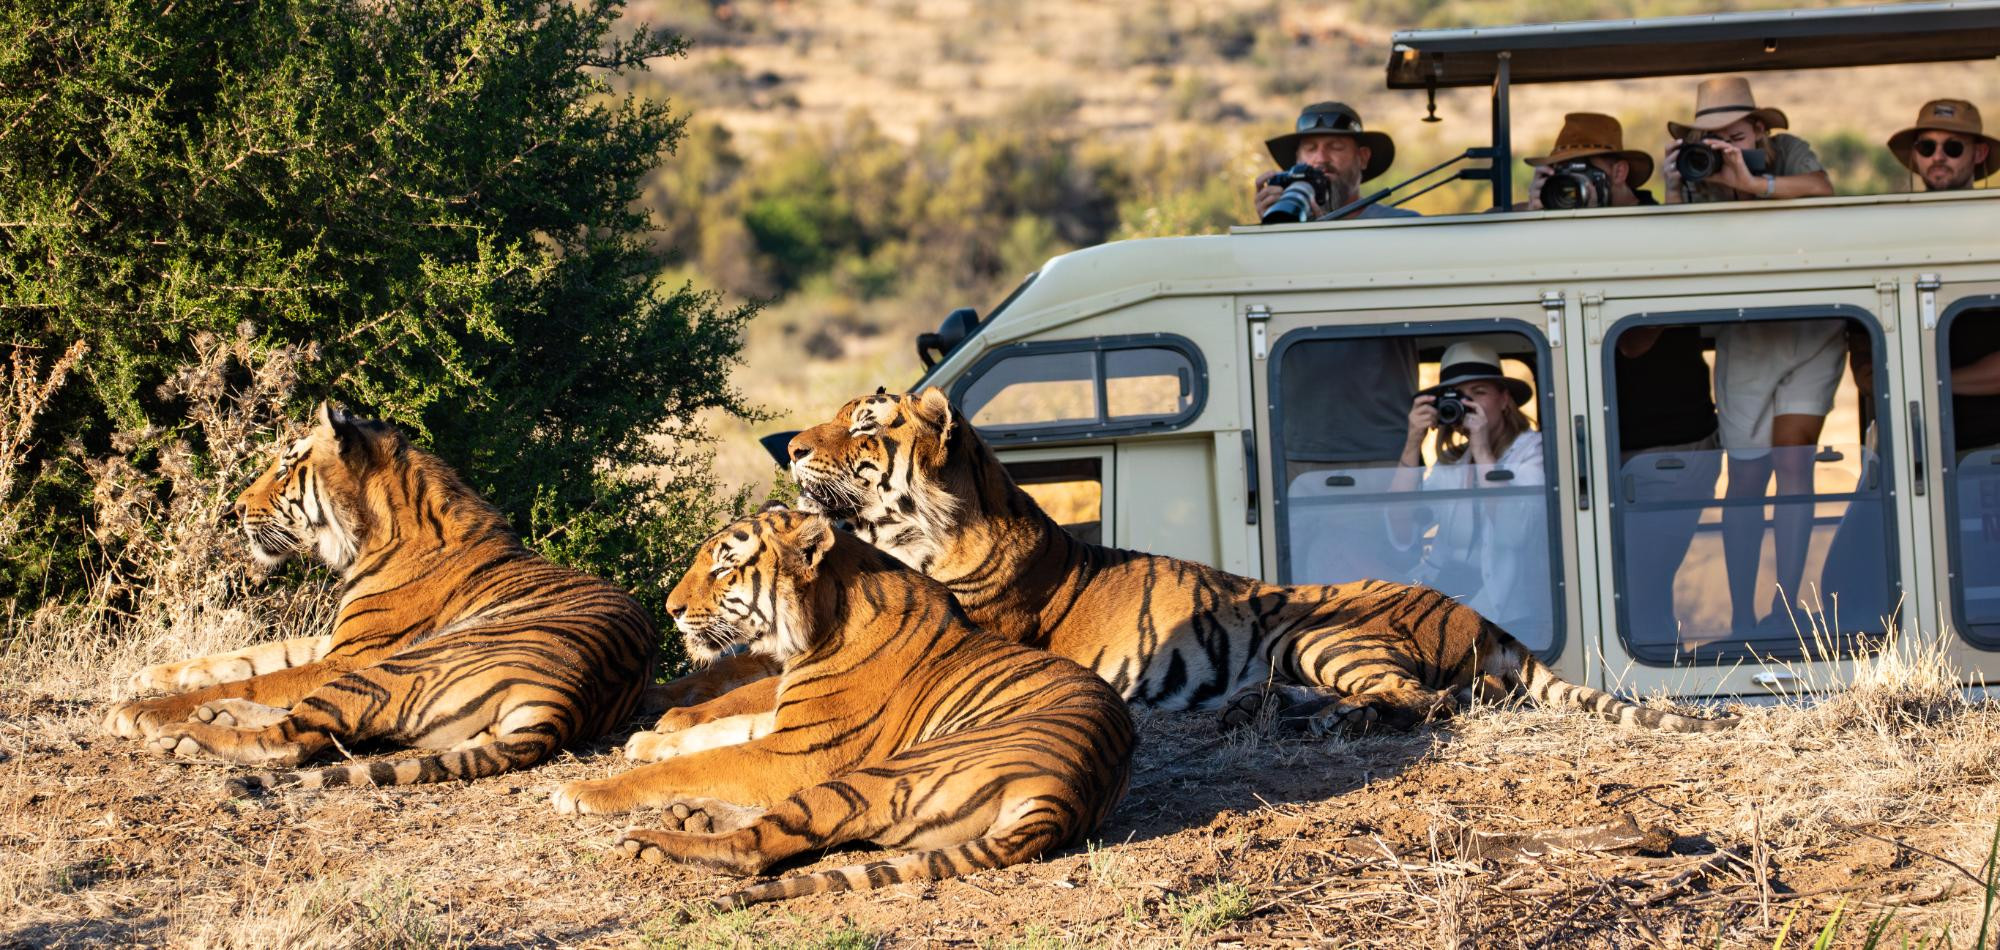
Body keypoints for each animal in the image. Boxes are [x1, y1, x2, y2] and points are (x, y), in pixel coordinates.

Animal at [103, 402, 660, 795]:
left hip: (392, 668)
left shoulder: (347, 655)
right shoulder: (333, 641)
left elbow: (261, 678)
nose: (235, 509)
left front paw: (141, 709)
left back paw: (186, 731)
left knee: (291, 741)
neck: (369, 534)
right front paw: (151, 675)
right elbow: (250, 656)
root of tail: (568, 702)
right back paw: (214, 713)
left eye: (284, 470)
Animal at [549, 508, 1135, 910]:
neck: (821, 621)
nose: (670, 610)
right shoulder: (785, 724)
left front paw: (585, 790)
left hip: (879, 773)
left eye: (723, 569)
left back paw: (652, 839)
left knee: (753, 849)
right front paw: (649, 740)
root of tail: (1067, 794)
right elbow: (719, 730)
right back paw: (693, 813)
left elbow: (695, 763)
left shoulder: (798, 751)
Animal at [779, 386, 1736, 736]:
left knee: (1431, 700)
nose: (789, 447)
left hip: (1320, 631)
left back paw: (1327, 720)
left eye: (863, 426)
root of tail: (1485, 617)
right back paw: (1266, 710)